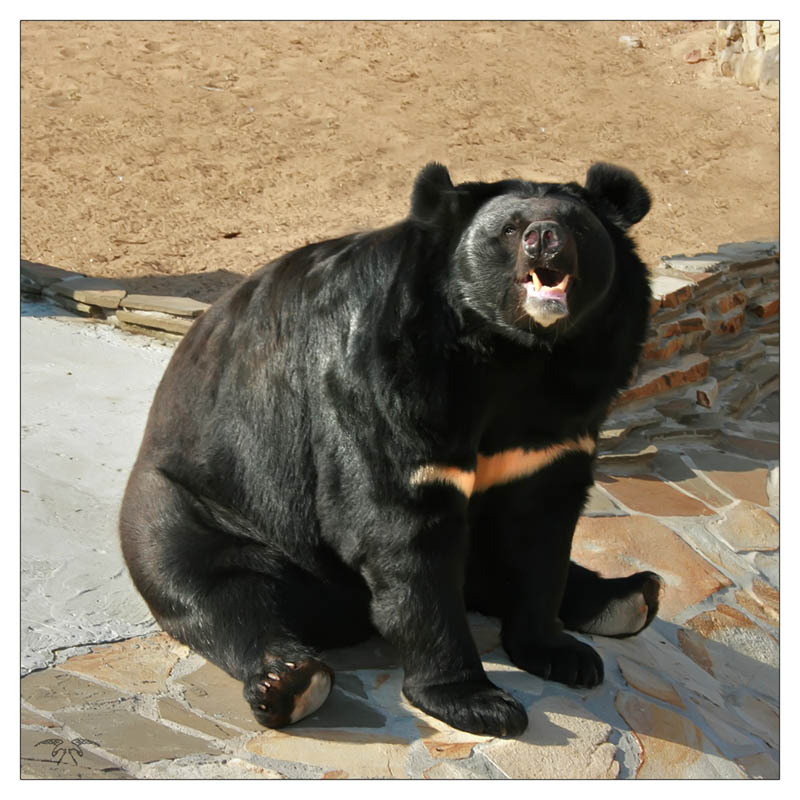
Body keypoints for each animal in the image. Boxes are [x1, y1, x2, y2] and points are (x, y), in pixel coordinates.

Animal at [120, 162, 662, 738]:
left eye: (577, 227)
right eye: (510, 229)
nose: (544, 239)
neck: (516, 353)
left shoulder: (564, 418)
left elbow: (541, 529)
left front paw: (561, 654)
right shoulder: (384, 381)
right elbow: (400, 522)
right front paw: (479, 703)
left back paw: (631, 595)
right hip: (197, 505)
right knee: (218, 592)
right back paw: (291, 682)